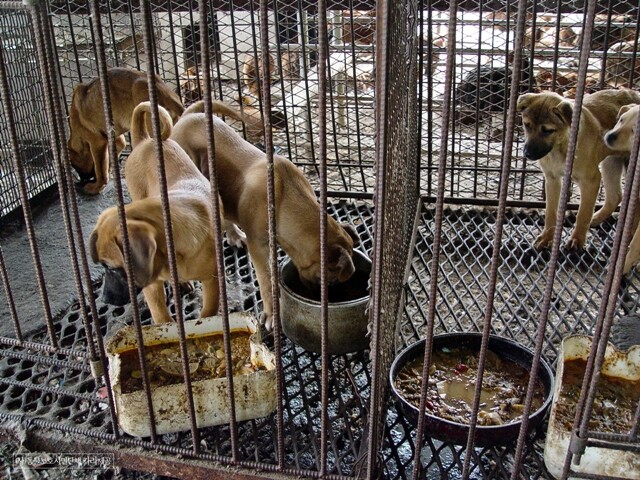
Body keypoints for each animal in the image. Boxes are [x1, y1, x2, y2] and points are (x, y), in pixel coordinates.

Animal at [68, 67, 185, 195]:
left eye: (75, 165)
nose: (82, 180)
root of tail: (164, 91)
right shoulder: (116, 139)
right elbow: (110, 158)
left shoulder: (96, 142)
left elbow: (100, 168)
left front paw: (97, 186)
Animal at [170, 99, 360, 328]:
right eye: (330, 280)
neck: (286, 196)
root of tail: (188, 116)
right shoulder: (258, 247)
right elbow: (266, 280)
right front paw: (271, 313)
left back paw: (234, 235)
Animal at [516, 89, 640, 251]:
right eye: (526, 125)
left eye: (548, 130)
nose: (527, 153)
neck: (560, 147)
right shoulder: (552, 179)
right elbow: (551, 212)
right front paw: (547, 237)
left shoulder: (590, 181)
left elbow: (583, 213)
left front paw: (577, 239)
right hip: (610, 163)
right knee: (615, 196)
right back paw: (597, 218)